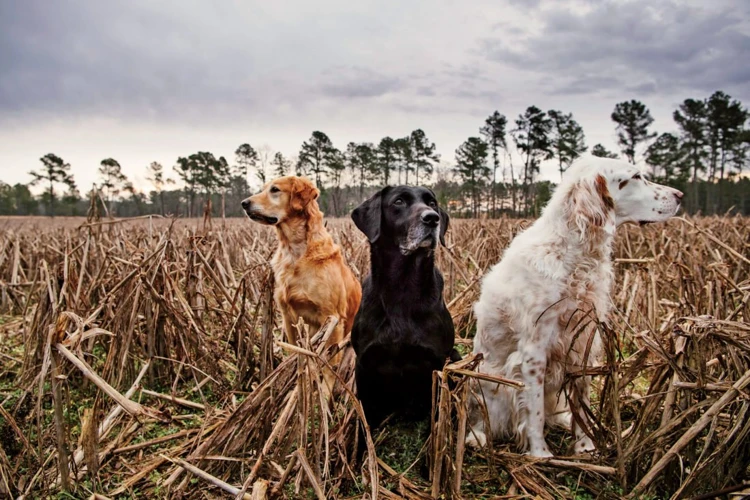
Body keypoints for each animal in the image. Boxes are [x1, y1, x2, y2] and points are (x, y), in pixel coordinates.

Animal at [470, 156, 688, 458]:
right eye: (635, 177)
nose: (680, 195)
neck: (575, 253)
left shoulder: (584, 338)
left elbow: (582, 403)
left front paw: (585, 448)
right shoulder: (534, 350)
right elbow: (534, 412)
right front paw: (540, 454)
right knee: (483, 417)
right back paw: (477, 437)